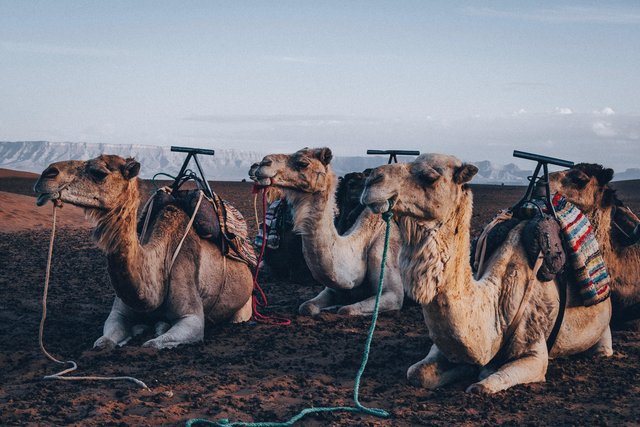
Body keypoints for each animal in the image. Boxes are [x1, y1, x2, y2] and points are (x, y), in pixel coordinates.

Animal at [34, 155, 254, 349]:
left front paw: (153, 332)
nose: (47, 174)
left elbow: (152, 344)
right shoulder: (118, 313)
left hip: (245, 305)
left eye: (99, 172)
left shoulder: (192, 317)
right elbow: (103, 342)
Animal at [252, 147, 404, 316]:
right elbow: (307, 307)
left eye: (303, 163)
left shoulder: (393, 293)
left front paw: (337, 307)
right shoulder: (331, 289)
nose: (263, 163)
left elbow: (346, 310)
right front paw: (330, 306)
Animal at [360, 153, 612, 393]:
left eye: (430, 176)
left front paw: (483, 374)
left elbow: (483, 385)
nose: (371, 179)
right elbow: (416, 373)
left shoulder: (535, 352)